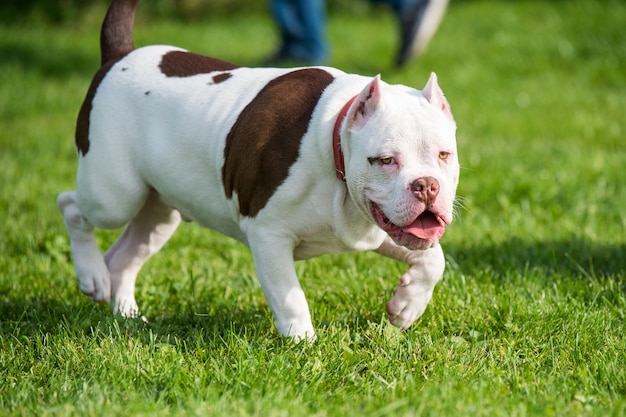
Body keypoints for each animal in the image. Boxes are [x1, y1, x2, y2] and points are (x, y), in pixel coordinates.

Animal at [57, 0, 458, 340]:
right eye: (386, 160)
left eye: (444, 155)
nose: (426, 186)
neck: (333, 143)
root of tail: (120, 55)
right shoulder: (269, 235)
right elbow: (290, 296)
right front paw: (303, 345)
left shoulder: (374, 228)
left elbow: (433, 259)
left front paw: (407, 307)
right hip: (114, 195)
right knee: (72, 206)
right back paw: (91, 274)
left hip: (158, 211)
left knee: (124, 257)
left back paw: (125, 313)